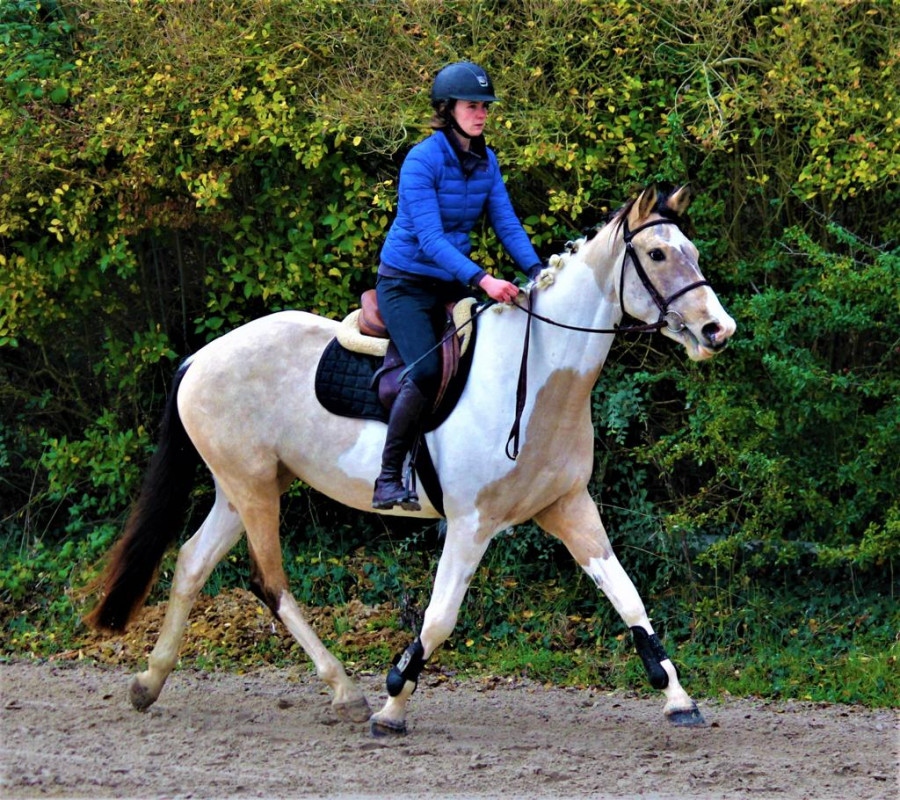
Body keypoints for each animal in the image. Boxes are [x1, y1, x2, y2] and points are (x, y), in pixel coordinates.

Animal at [85, 184, 736, 735]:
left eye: (691, 251)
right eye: (656, 253)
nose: (717, 329)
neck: (535, 378)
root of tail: (201, 357)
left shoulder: (568, 507)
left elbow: (628, 597)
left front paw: (678, 698)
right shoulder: (472, 523)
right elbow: (440, 616)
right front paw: (394, 703)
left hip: (246, 486)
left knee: (192, 562)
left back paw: (149, 683)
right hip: (251, 489)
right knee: (269, 581)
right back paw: (346, 692)